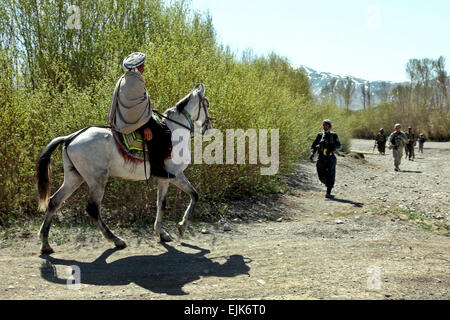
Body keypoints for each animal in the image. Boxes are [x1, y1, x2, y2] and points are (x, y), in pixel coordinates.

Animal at [37, 84, 213, 254]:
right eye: (206, 104)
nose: (209, 127)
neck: (175, 132)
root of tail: (70, 137)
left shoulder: (164, 178)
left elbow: (161, 204)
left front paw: (161, 233)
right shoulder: (176, 175)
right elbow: (194, 195)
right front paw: (182, 226)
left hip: (74, 178)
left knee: (54, 201)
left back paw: (45, 244)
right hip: (97, 180)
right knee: (92, 209)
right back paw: (116, 240)